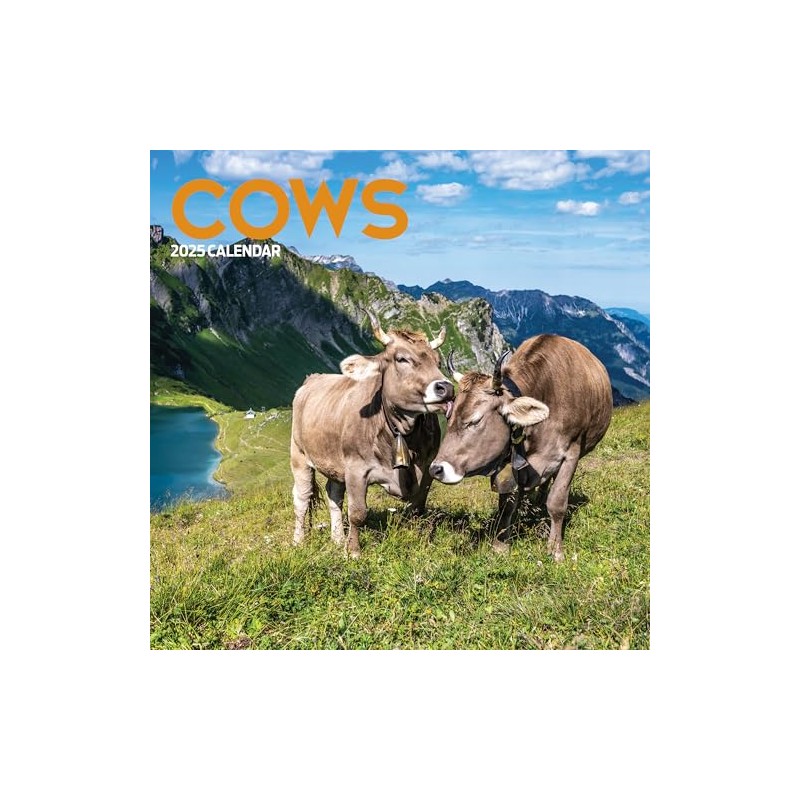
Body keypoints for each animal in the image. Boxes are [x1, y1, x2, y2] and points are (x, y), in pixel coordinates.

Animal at [290, 315, 455, 558]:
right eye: (401, 359)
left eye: (438, 362)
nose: (446, 388)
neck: (401, 434)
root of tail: (312, 379)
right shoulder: (356, 469)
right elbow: (358, 512)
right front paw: (353, 551)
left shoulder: (427, 468)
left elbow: (418, 508)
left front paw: (418, 542)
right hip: (299, 456)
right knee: (302, 498)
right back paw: (299, 541)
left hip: (334, 463)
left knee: (334, 495)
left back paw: (337, 539)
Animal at [430, 334, 612, 561]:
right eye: (448, 417)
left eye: (475, 420)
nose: (436, 469)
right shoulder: (511, 462)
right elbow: (507, 505)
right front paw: (500, 545)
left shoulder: (571, 454)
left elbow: (557, 503)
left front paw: (555, 550)